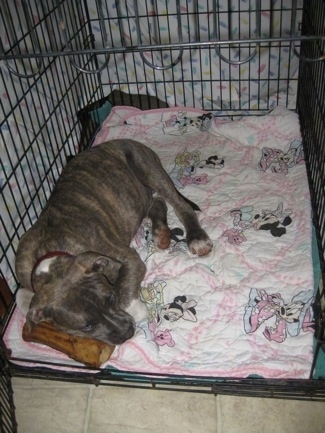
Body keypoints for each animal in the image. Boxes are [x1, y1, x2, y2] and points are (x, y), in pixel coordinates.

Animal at [15, 138, 213, 344]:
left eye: (111, 298)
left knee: (179, 204)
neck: (51, 254)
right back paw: (160, 233)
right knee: (157, 203)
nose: (127, 332)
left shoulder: (127, 258)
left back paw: (197, 238)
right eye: (87, 326)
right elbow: (21, 297)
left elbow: (124, 291)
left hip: (147, 168)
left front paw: (136, 308)